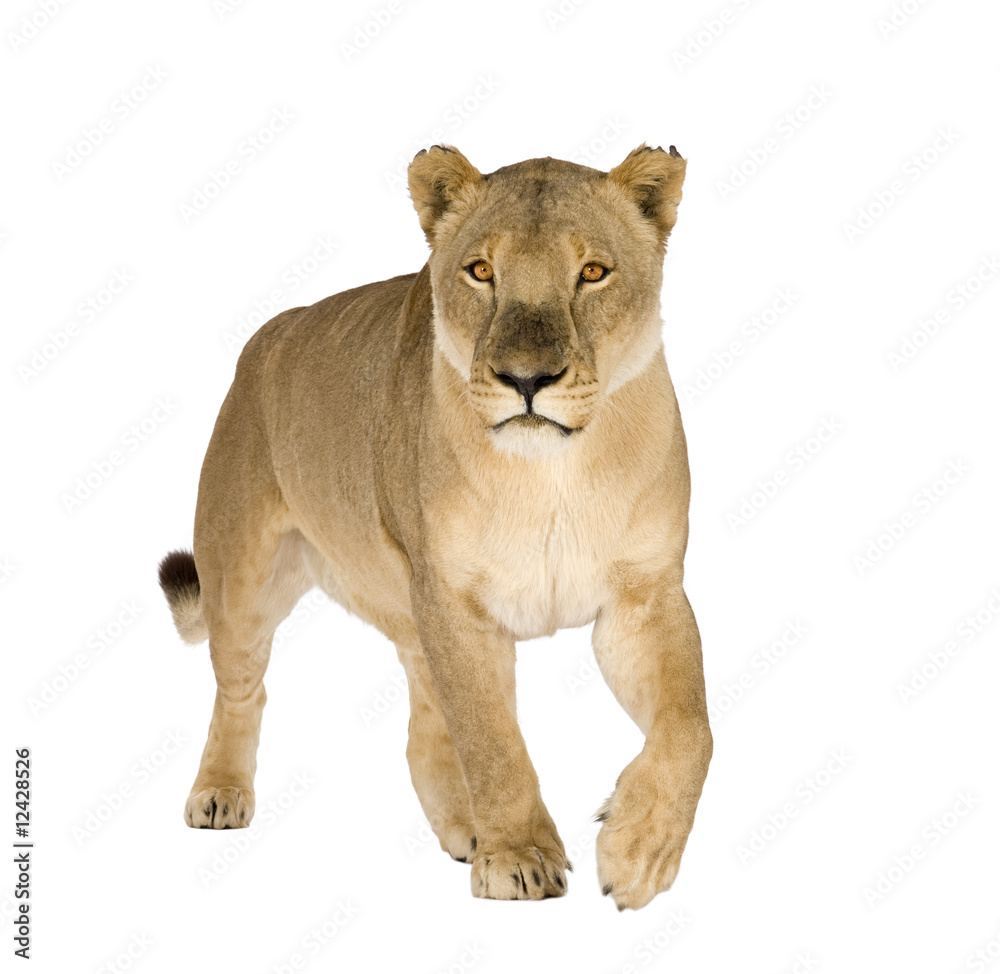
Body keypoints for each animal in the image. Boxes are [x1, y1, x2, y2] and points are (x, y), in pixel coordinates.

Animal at [158, 143, 712, 910]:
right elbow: (493, 741)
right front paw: (519, 860)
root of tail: (268, 336)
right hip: (242, 573)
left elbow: (690, 727)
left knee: (423, 732)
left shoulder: (645, 596)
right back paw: (219, 793)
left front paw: (638, 850)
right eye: (481, 271)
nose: (527, 380)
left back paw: (466, 829)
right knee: (243, 688)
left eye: (593, 273)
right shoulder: (455, 604)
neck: (550, 476)